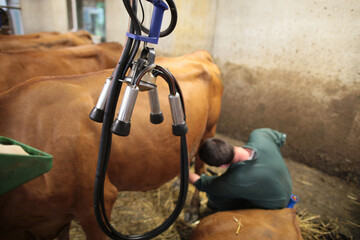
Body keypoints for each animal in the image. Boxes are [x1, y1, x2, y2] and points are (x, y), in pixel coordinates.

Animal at [0, 50, 222, 238]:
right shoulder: (54, 220)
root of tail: (199, 54)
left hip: (209, 130)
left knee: (201, 167)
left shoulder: (95, 203)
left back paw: (193, 210)